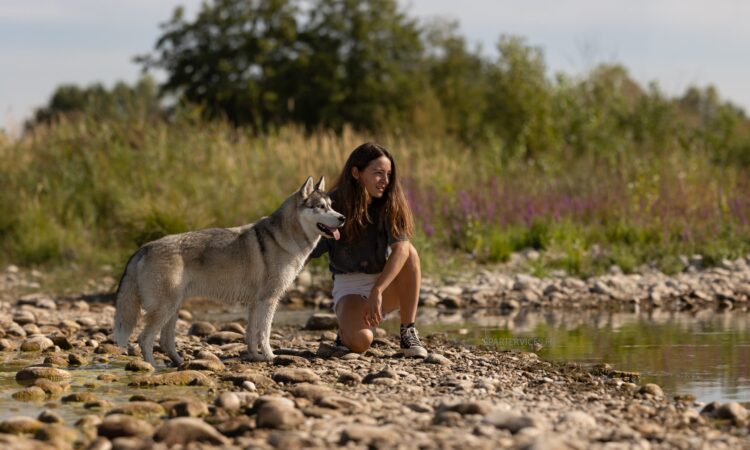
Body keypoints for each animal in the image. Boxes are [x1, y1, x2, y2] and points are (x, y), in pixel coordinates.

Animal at [114, 177, 344, 366]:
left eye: (331, 206)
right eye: (321, 207)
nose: (342, 218)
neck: (284, 238)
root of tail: (144, 247)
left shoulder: (255, 303)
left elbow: (251, 335)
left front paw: (255, 357)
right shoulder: (269, 299)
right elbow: (265, 333)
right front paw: (270, 356)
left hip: (173, 308)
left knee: (165, 341)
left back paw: (179, 363)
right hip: (165, 308)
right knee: (145, 339)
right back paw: (152, 367)